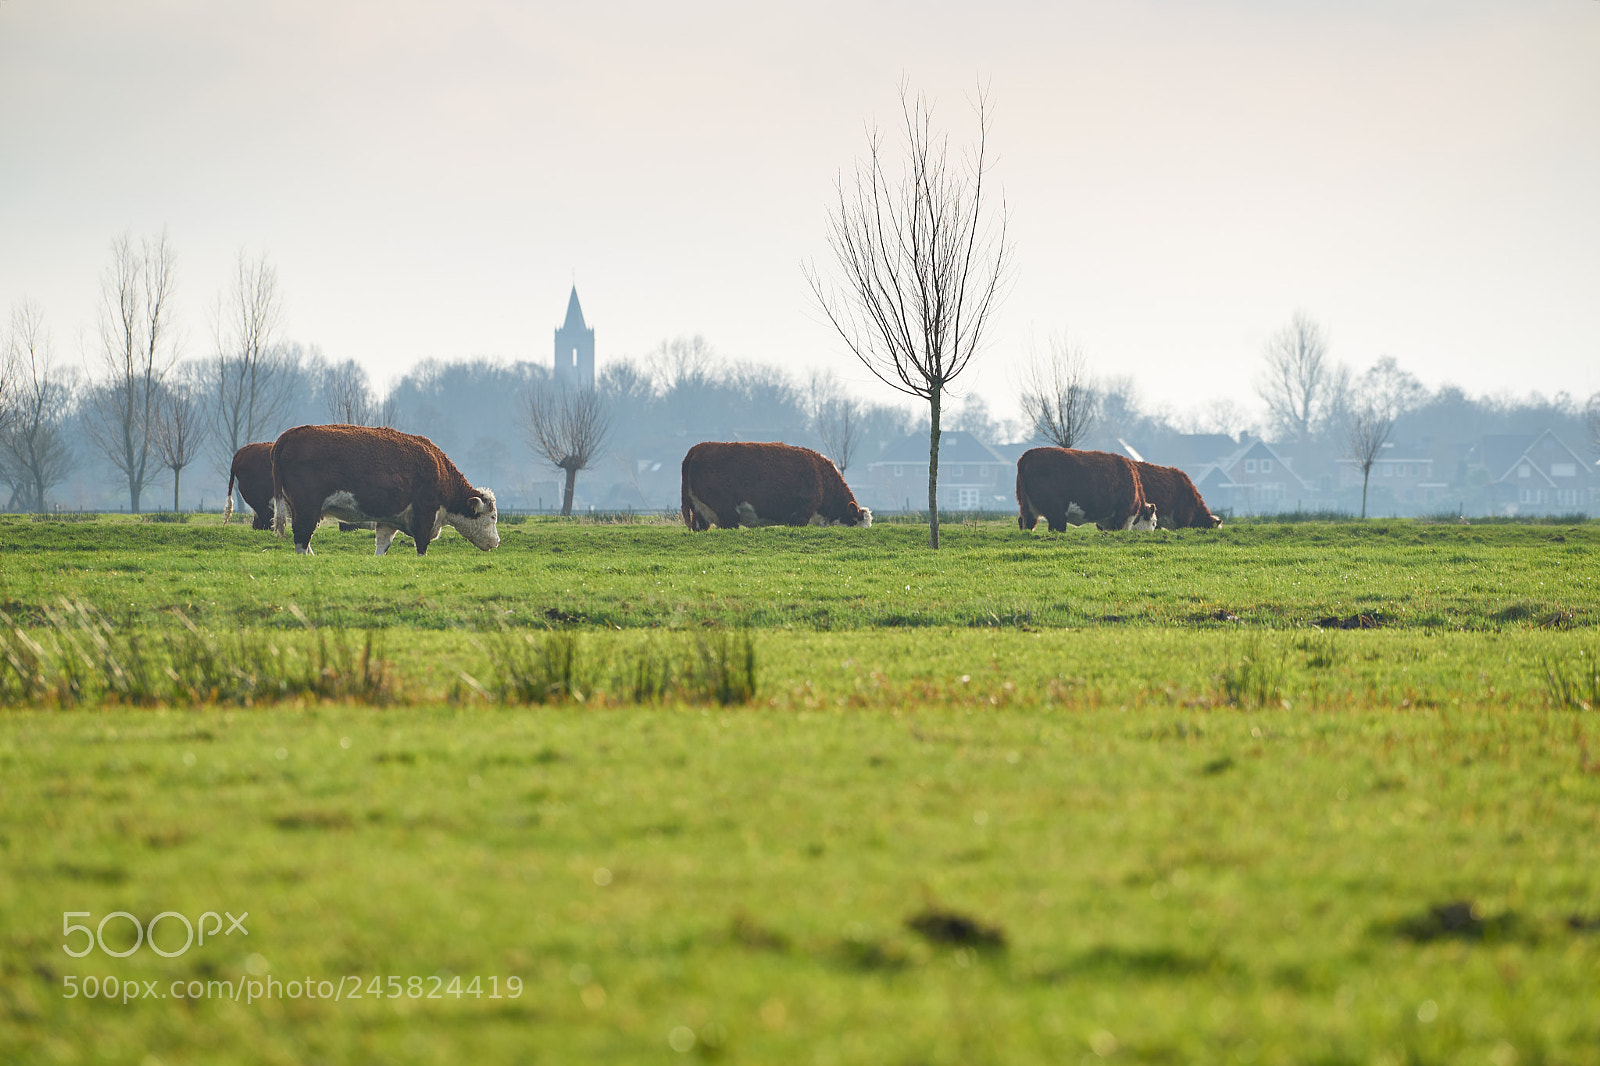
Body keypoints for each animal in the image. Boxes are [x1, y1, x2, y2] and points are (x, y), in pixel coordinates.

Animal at [270, 424, 500, 556]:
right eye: (493, 517)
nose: (497, 541)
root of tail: (288, 435)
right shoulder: (424, 517)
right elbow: (421, 548)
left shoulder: (388, 521)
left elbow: (382, 546)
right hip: (307, 507)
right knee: (301, 538)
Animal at [1016, 447, 1158, 532]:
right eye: (1154, 523)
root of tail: (1027, 455)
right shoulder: (1122, 516)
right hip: (1055, 513)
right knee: (1056, 527)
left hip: (1028, 506)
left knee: (1026, 523)